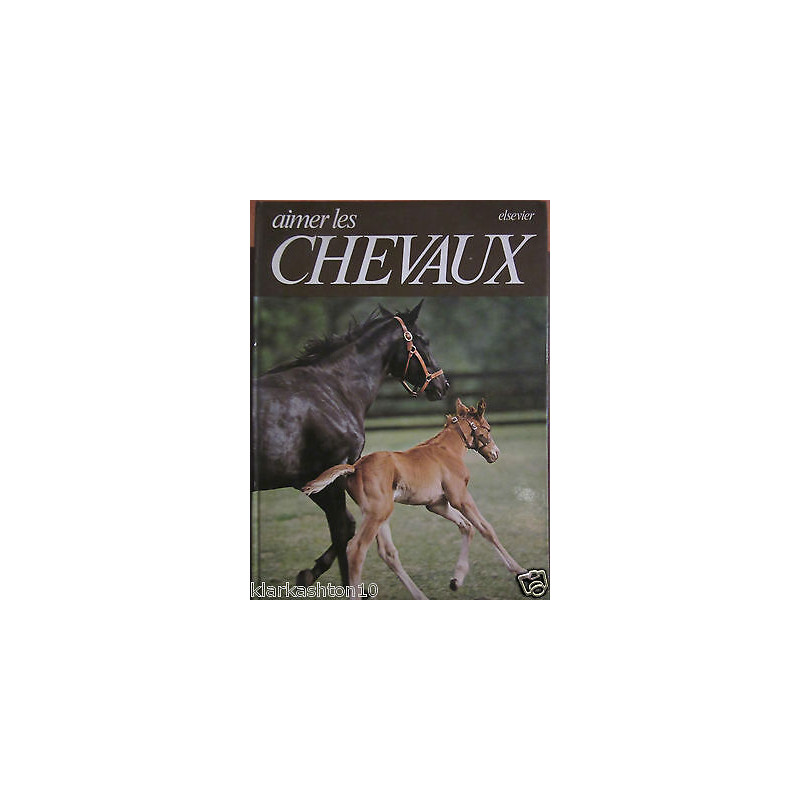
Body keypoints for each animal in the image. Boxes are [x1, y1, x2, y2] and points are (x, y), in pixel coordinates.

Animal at [251, 301, 449, 586]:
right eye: (423, 340)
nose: (443, 384)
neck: (333, 390)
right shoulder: (332, 474)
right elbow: (342, 531)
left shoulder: (311, 481)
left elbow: (347, 527)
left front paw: (308, 574)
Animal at [301, 398, 525, 599]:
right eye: (488, 429)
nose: (495, 453)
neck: (446, 451)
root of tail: (355, 467)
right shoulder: (459, 496)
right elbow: (486, 529)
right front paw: (519, 570)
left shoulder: (437, 504)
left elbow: (467, 527)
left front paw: (456, 580)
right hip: (378, 513)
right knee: (357, 550)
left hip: (378, 513)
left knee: (388, 552)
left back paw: (420, 596)